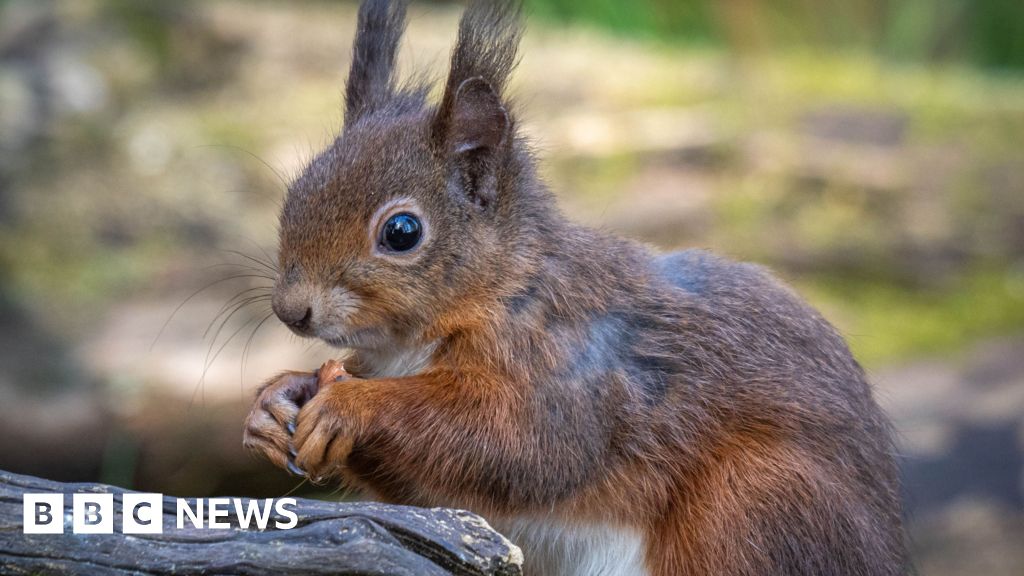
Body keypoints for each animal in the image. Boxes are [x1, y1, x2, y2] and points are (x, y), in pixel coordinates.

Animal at [241, 1, 907, 574]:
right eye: (298, 188)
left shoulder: (571, 365)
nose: (292, 310)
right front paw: (276, 400)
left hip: (753, 501)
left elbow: (521, 443)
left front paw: (353, 404)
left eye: (402, 232)